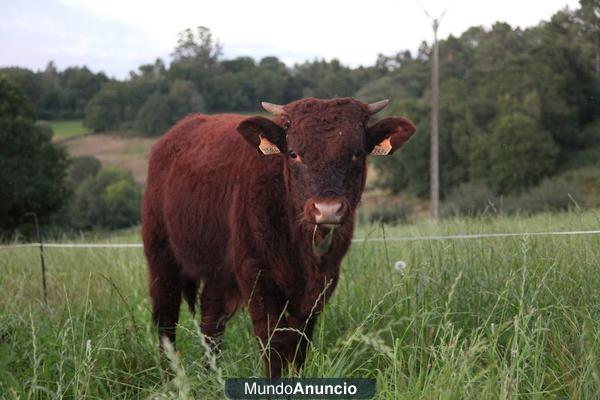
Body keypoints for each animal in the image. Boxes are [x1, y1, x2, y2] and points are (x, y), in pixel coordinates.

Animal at [142, 97, 414, 378]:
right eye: (293, 153)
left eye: (357, 153)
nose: (327, 209)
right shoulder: (257, 276)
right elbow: (272, 341)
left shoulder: (320, 284)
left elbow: (299, 342)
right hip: (161, 257)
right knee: (166, 319)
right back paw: (170, 377)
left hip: (218, 271)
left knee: (211, 321)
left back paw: (211, 375)